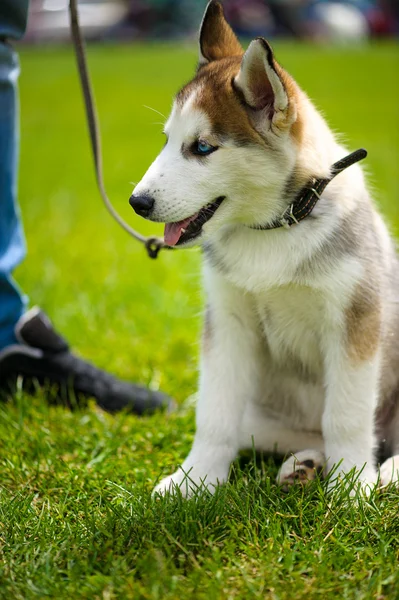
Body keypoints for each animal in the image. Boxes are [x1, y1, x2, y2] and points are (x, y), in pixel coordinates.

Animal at [131, 1, 399, 496]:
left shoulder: (355, 321)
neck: (274, 228)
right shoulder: (228, 321)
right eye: (167, 140)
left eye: (202, 147)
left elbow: (346, 417)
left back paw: (382, 474)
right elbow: (215, 416)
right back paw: (306, 464)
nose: (136, 203)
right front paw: (195, 481)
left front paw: (352, 489)